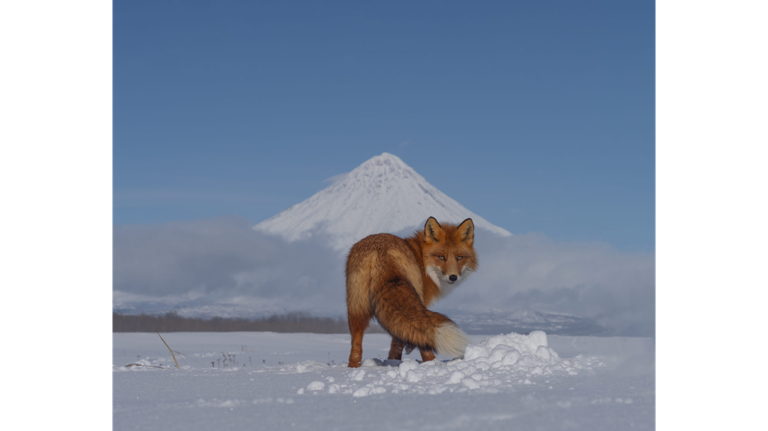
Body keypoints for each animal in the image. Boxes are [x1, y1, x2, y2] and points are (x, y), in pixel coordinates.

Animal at [346, 218, 476, 370]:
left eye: (459, 257)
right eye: (441, 257)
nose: (453, 277)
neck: (420, 258)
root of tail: (378, 251)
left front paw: (393, 360)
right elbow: (401, 340)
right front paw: (399, 356)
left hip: (356, 308)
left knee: (356, 344)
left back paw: (353, 367)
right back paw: (432, 363)